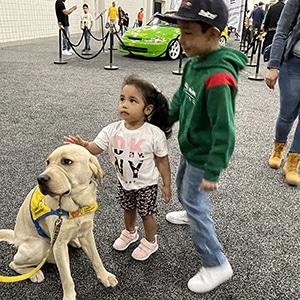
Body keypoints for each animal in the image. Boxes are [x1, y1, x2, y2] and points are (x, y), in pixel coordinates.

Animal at [0, 144, 118, 298]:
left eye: (66, 161)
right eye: (48, 162)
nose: (40, 179)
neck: (76, 205)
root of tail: (16, 238)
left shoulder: (87, 233)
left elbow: (96, 259)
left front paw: (105, 276)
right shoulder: (59, 245)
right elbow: (66, 277)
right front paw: (69, 296)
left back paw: (74, 241)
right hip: (40, 246)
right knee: (14, 264)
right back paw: (34, 274)